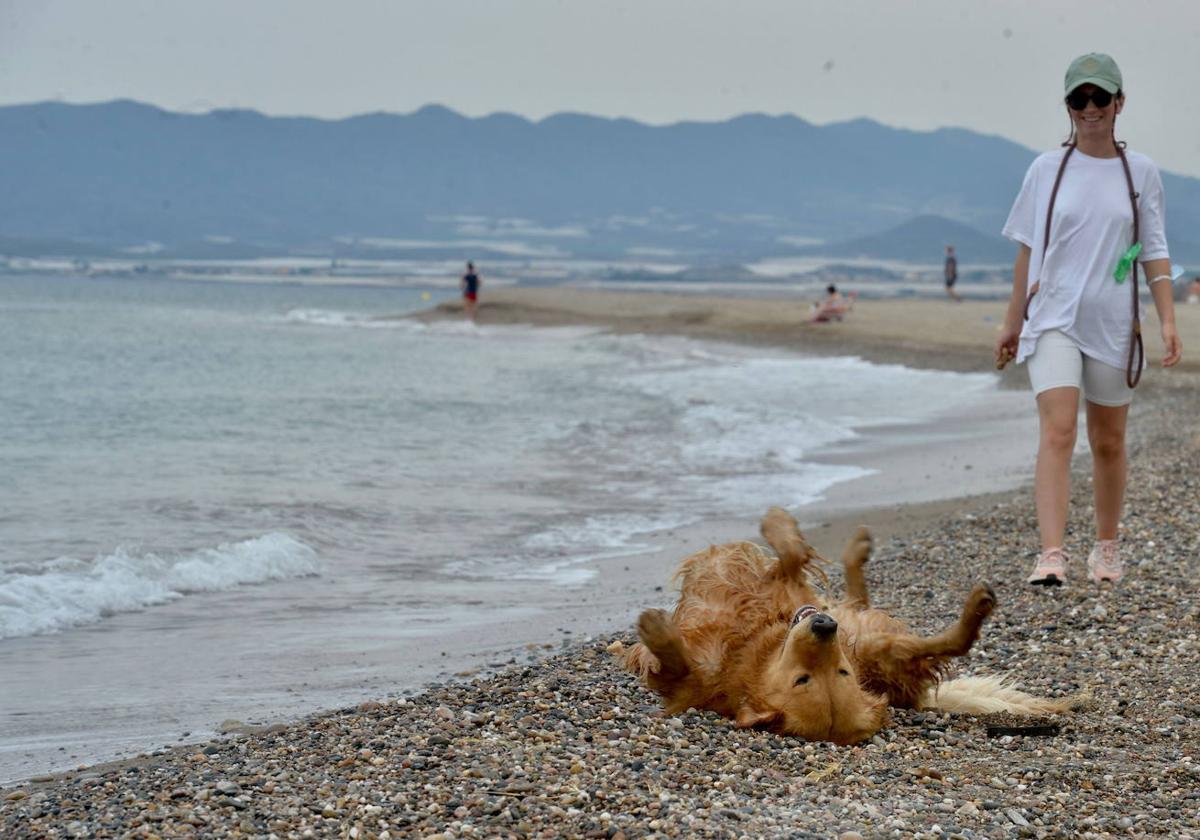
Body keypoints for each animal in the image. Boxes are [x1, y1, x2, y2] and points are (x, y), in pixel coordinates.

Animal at [624, 506, 1075, 739]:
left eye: (838, 674)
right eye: (803, 680)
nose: (825, 628)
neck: (751, 649)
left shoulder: (692, 684)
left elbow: (789, 554)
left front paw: (656, 631)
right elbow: (791, 556)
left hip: (876, 647)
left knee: (952, 641)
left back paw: (974, 609)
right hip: (865, 636)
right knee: (861, 598)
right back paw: (857, 550)